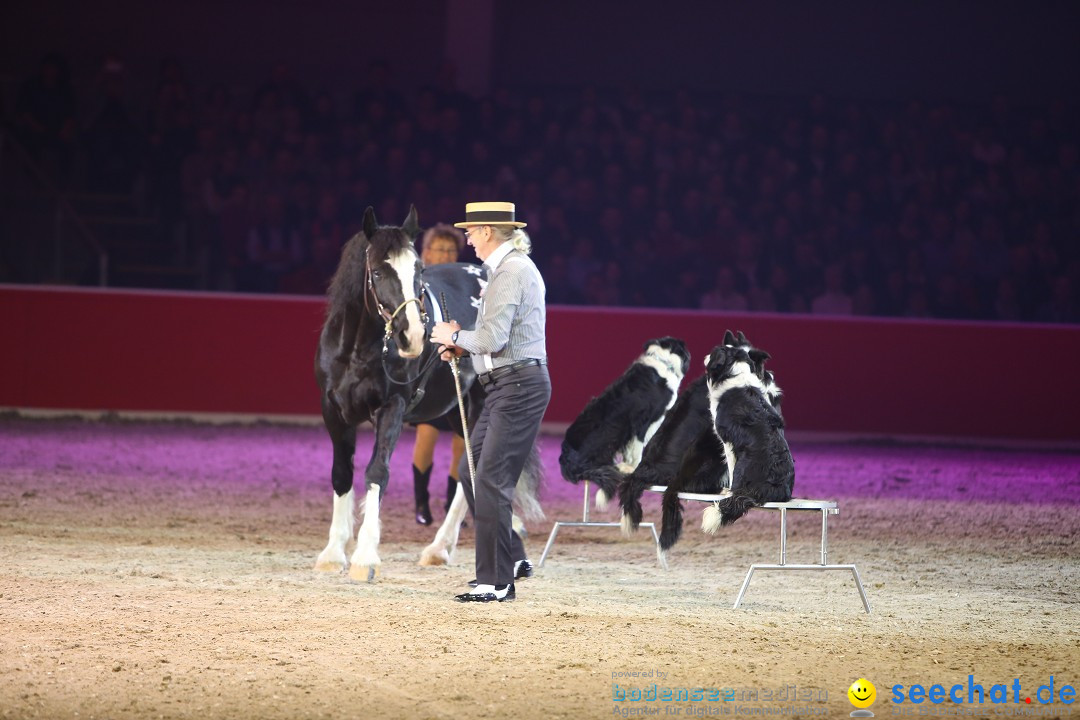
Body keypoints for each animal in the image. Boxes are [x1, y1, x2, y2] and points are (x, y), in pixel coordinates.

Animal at [315, 207, 520, 578]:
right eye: (377, 271)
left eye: (419, 270)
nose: (412, 336)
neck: (358, 350)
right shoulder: (334, 412)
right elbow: (342, 474)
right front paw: (333, 553)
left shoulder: (392, 408)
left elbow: (376, 472)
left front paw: (364, 557)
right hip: (456, 413)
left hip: (480, 408)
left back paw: (440, 547)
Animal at [561, 336, 686, 509]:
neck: (663, 359)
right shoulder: (641, 422)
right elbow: (638, 448)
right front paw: (633, 467)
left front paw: (628, 465)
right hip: (608, 431)